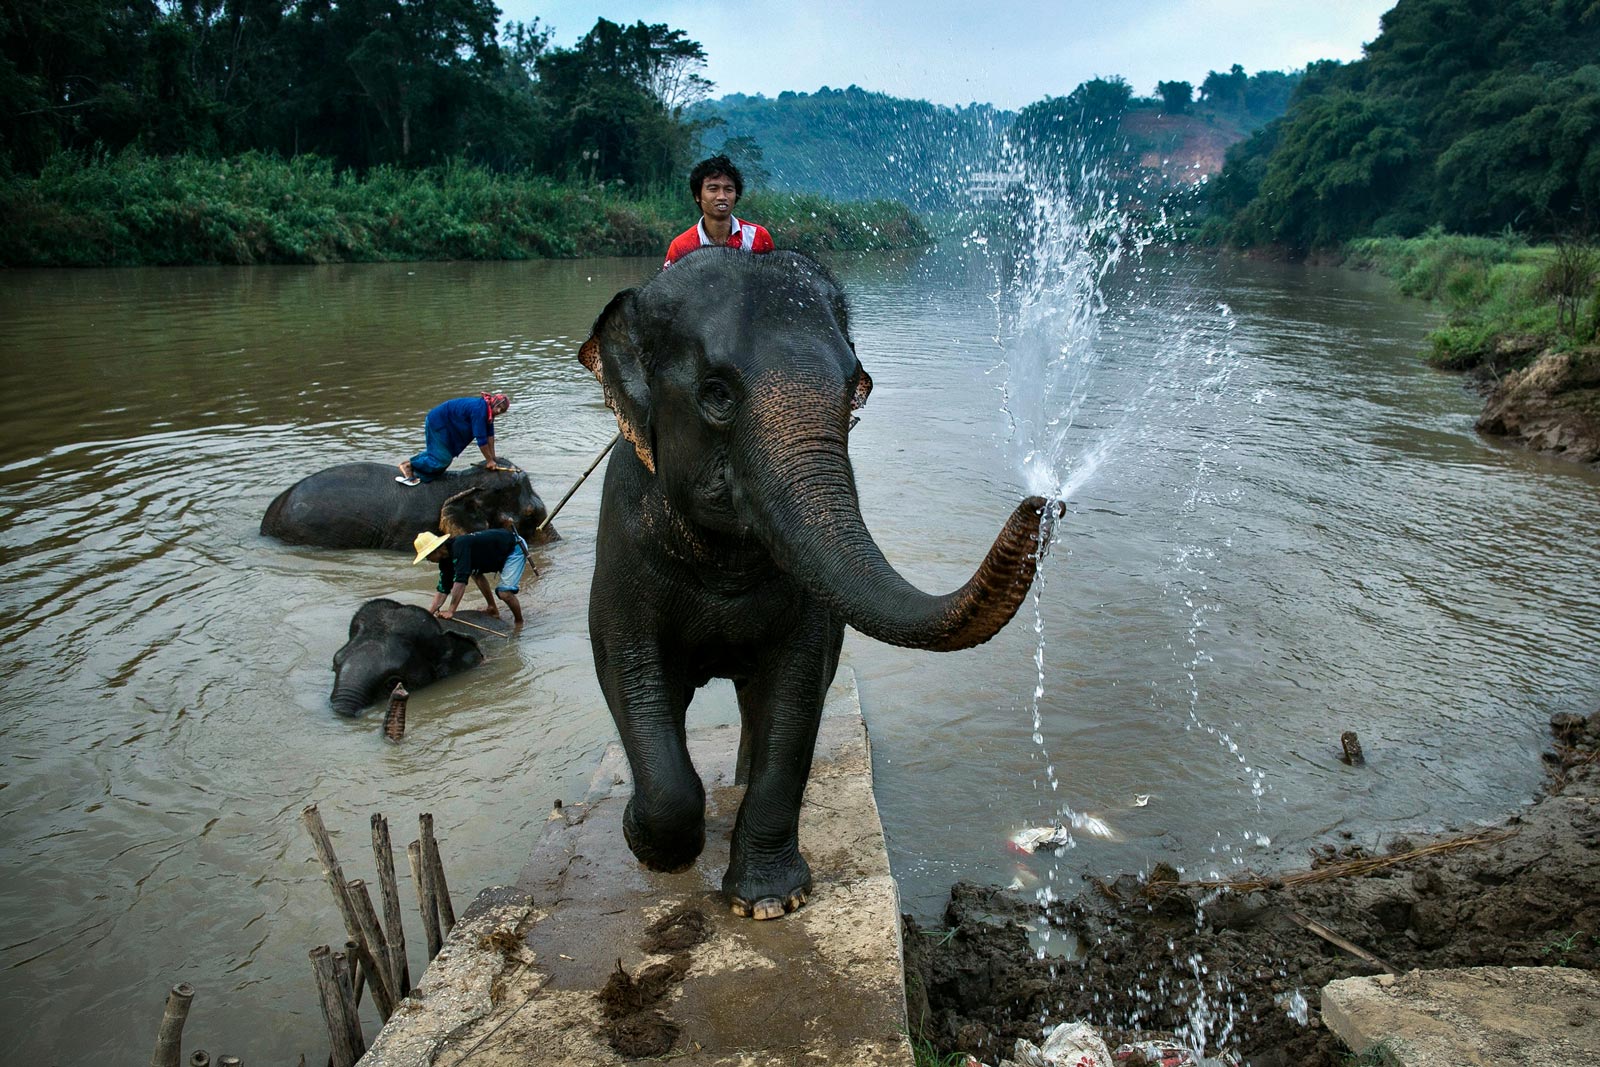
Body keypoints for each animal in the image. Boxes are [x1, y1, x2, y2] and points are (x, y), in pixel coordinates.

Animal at [582, 247, 1056, 921]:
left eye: (853, 396)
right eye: (716, 394)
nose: (1043, 503)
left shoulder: (810, 612)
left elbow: (800, 684)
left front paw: (769, 903)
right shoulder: (622, 547)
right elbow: (627, 667)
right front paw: (649, 845)